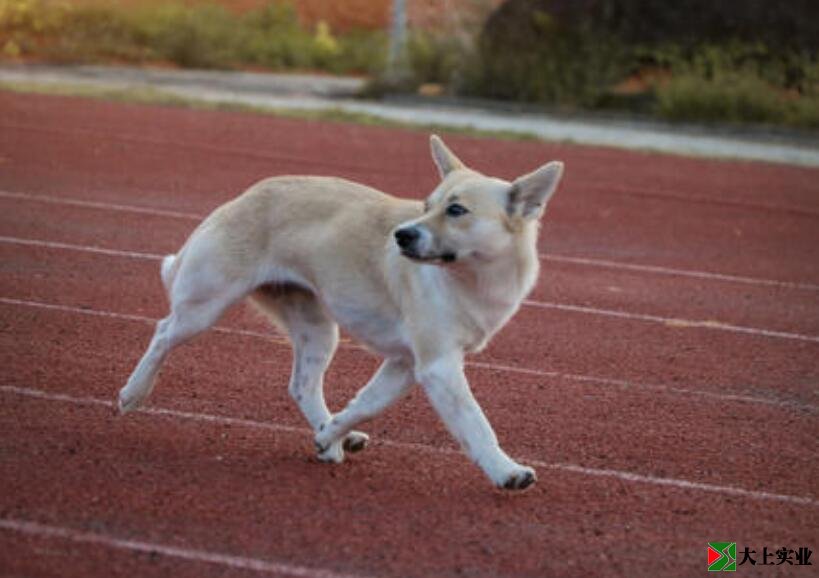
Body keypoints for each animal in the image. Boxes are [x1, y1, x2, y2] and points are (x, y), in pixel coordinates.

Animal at [120, 136, 564, 490]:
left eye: (457, 211)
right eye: (427, 205)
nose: (401, 235)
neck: (473, 279)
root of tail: (249, 192)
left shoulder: (406, 364)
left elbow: (367, 403)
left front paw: (330, 435)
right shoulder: (438, 366)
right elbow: (476, 423)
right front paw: (506, 471)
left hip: (319, 331)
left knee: (301, 386)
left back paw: (331, 437)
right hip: (205, 304)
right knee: (162, 332)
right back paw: (134, 392)